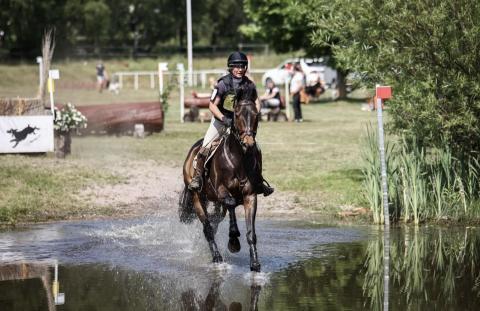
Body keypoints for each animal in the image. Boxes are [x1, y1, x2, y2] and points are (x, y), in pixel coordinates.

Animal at [179, 86, 262, 272]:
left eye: (256, 114)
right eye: (237, 114)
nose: (248, 143)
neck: (238, 158)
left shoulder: (250, 195)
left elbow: (251, 233)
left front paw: (255, 264)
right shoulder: (222, 191)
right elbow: (230, 203)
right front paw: (234, 241)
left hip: (215, 202)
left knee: (214, 222)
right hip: (197, 197)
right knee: (208, 228)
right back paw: (216, 257)